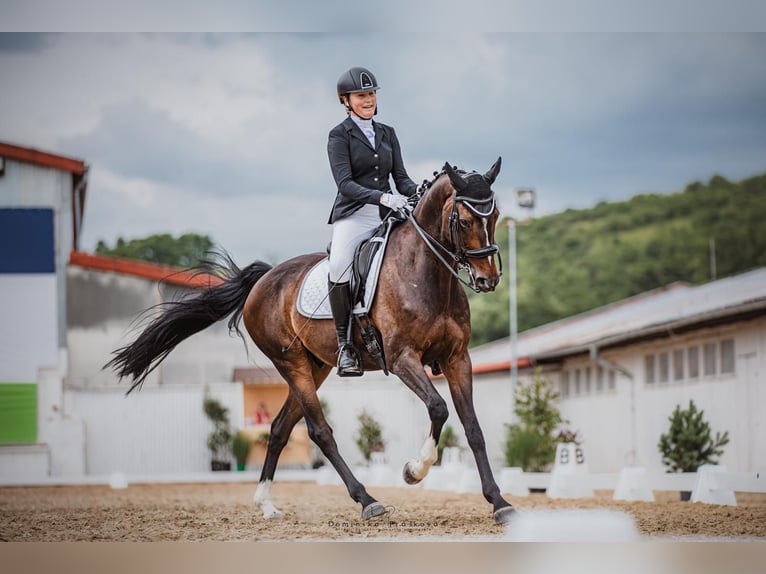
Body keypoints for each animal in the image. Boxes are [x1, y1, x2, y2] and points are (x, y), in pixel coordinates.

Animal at [106, 158, 516, 528]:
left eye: (495, 216)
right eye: (465, 221)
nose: (488, 280)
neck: (426, 275)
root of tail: (263, 279)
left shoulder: (457, 358)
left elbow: (473, 428)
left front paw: (499, 503)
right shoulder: (402, 359)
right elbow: (438, 408)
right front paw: (414, 471)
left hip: (316, 367)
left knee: (279, 429)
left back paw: (266, 504)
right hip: (293, 366)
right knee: (319, 432)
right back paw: (367, 500)